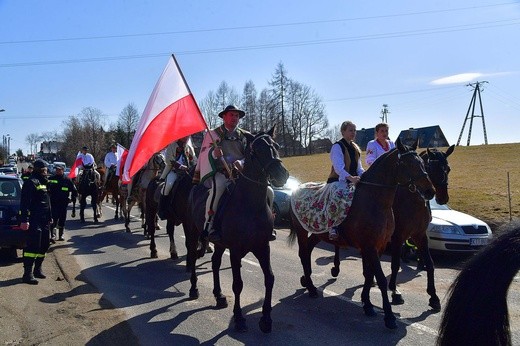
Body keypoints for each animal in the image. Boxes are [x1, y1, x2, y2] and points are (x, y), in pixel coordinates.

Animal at [184, 125, 290, 334]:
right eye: (257, 150)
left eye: (276, 146)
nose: (282, 174)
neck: (250, 206)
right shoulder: (235, 251)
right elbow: (238, 284)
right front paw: (239, 319)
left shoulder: (263, 247)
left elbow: (270, 278)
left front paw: (266, 319)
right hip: (193, 232)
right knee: (192, 256)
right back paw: (193, 289)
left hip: (218, 243)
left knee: (215, 263)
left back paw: (219, 296)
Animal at [288, 137, 434, 328]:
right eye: (409, 164)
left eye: (423, 164)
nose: (430, 191)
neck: (374, 201)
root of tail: (297, 188)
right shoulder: (370, 246)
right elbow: (380, 278)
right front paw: (389, 316)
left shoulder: (378, 246)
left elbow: (369, 274)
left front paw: (367, 303)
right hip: (302, 231)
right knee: (303, 254)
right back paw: (311, 288)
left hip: (317, 232)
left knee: (307, 251)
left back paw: (307, 281)